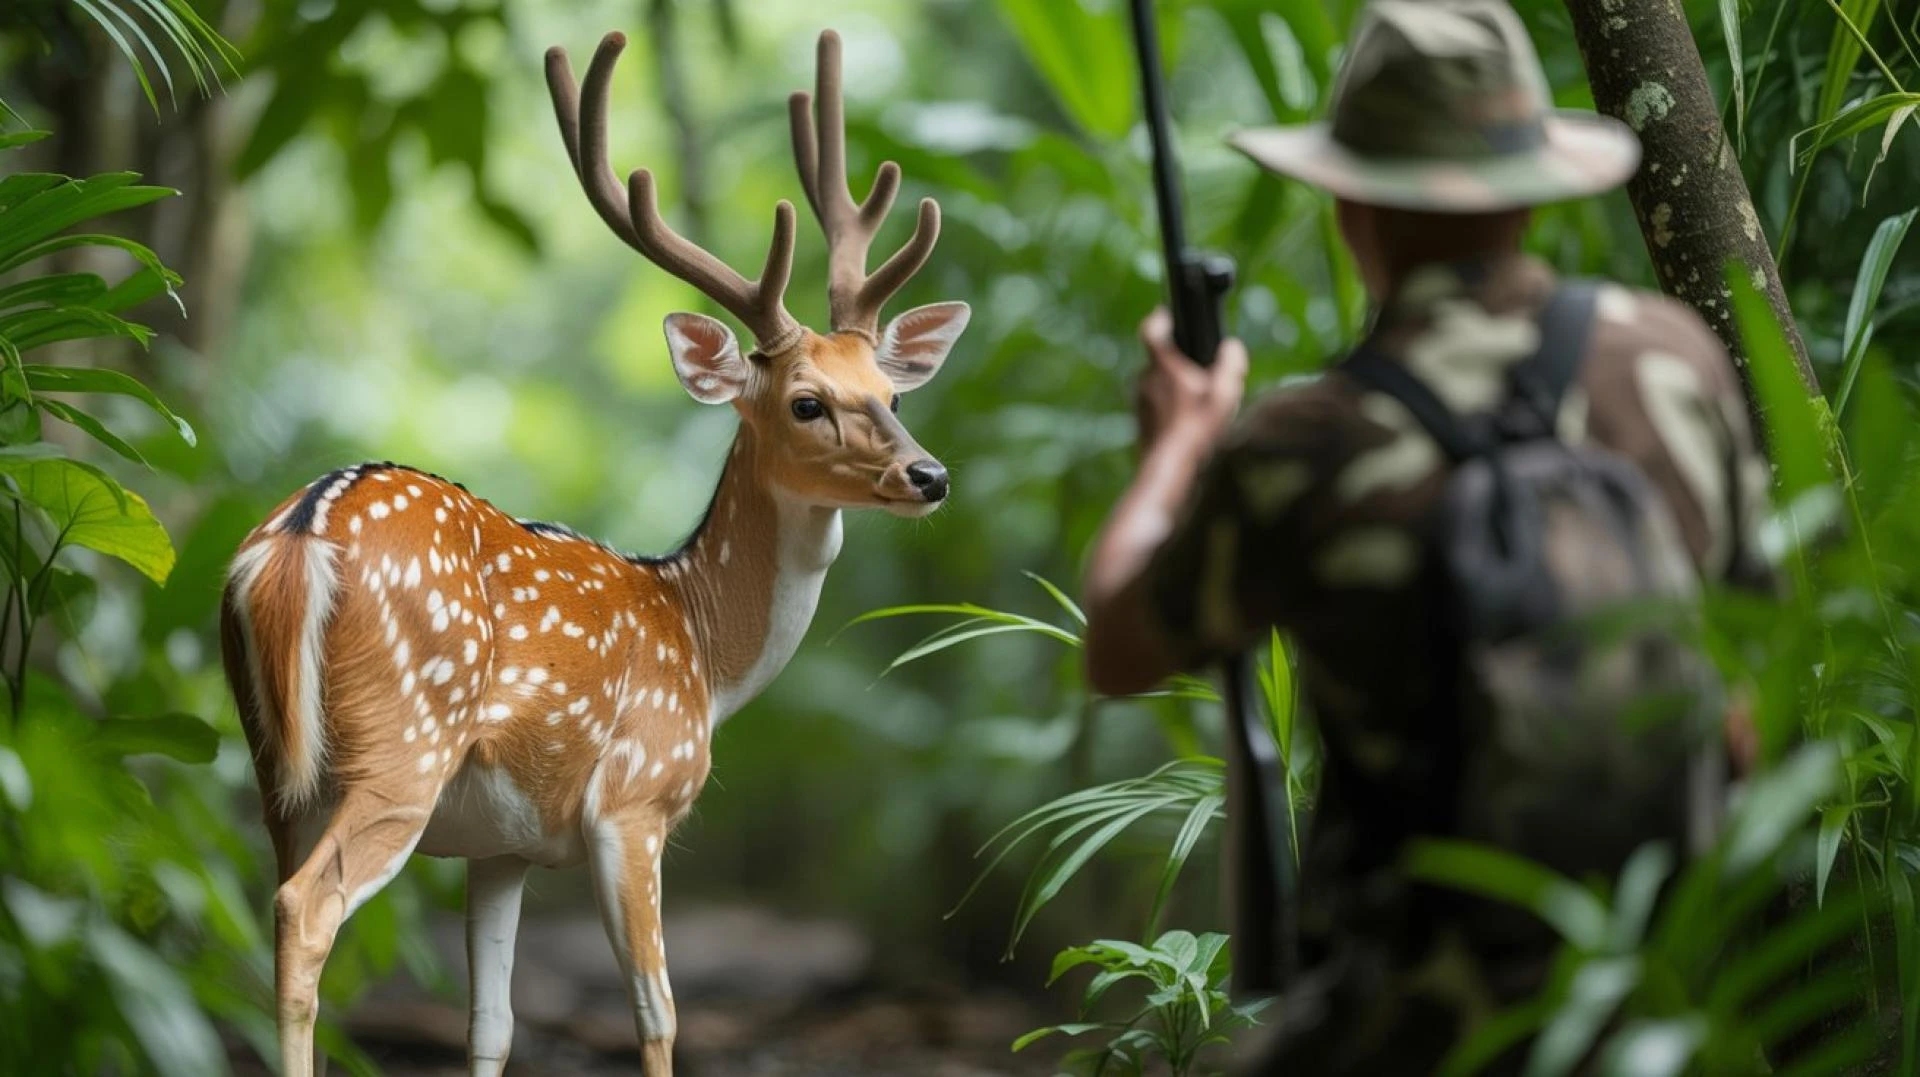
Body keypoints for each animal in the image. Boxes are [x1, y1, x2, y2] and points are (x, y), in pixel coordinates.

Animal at [218, 30, 969, 1077]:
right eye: (806, 401)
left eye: (893, 395)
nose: (928, 475)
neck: (705, 650)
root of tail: (295, 536)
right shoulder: (634, 800)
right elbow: (657, 1011)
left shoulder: (501, 845)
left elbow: (491, 1020)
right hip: (403, 744)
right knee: (305, 911)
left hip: (275, 765)